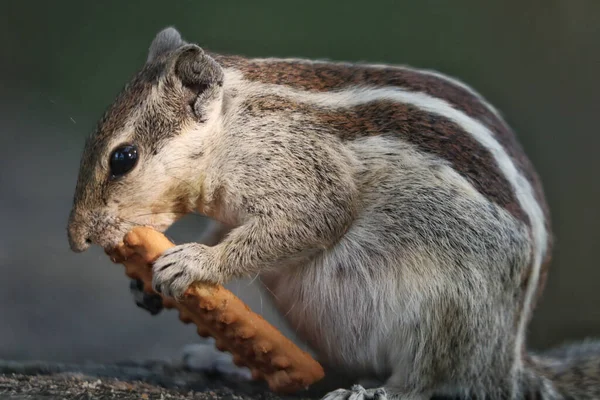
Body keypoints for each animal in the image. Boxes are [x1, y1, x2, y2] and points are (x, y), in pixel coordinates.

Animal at [67, 28, 600, 400]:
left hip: (446, 310)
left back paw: (378, 393)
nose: (76, 239)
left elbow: (313, 219)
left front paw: (195, 262)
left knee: (431, 380)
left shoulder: (303, 171)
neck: (232, 128)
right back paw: (225, 362)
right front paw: (145, 286)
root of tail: (506, 363)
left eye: (123, 158)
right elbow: (226, 229)